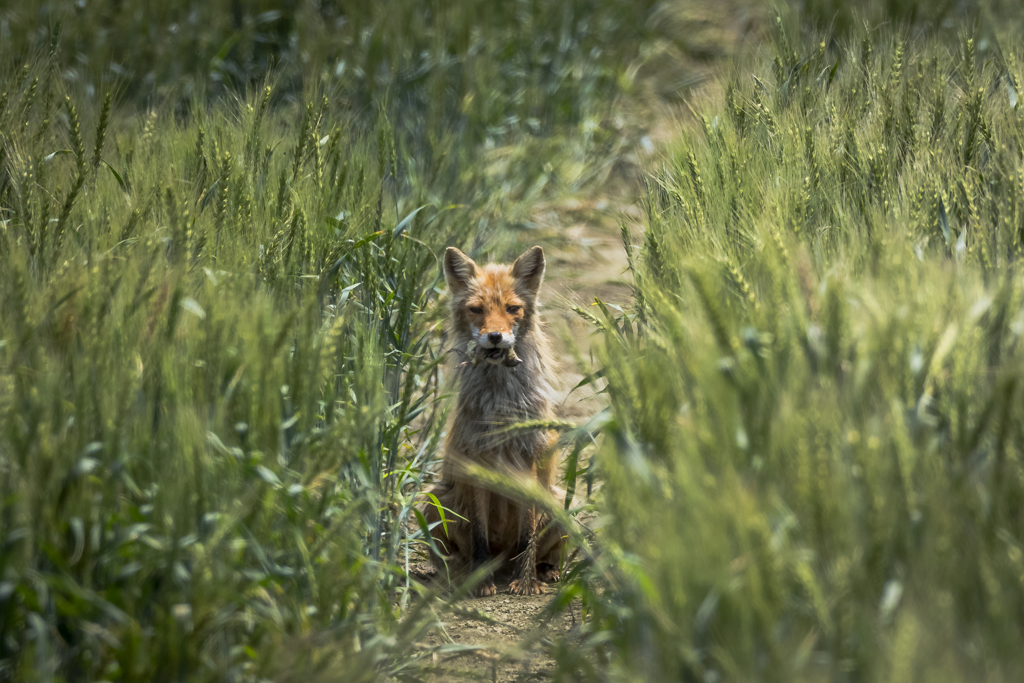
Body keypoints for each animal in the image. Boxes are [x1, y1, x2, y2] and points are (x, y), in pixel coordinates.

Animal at [423, 246, 569, 598]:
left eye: (512, 309)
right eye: (476, 309)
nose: (494, 337)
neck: (500, 400)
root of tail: (502, 559)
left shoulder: (529, 457)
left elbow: (528, 535)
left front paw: (526, 582)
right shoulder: (476, 459)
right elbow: (479, 535)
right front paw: (481, 583)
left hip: (560, 502)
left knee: (544, 550)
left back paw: (545, 571)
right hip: (434, 501)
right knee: (455, 558)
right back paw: (461, 575)